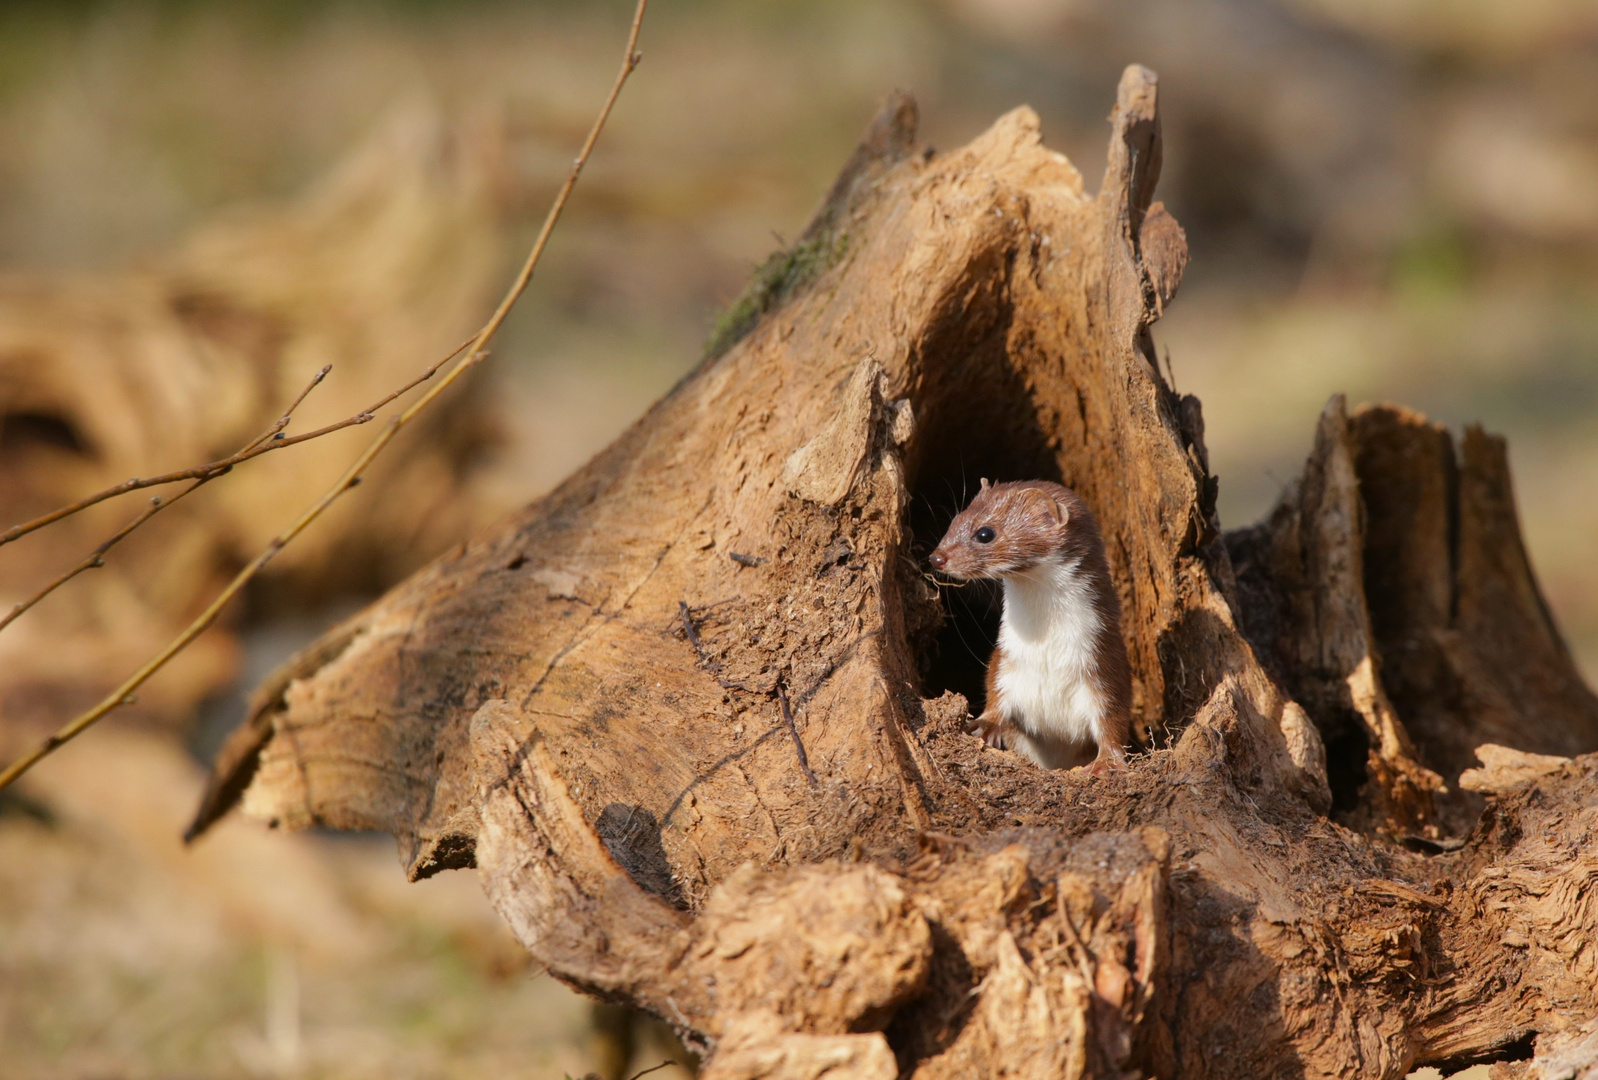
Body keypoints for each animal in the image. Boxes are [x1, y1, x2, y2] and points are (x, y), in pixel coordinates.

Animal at [933, 476, 1131, 773]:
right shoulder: (1006, 661)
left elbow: (1113, 718)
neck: (1046, 651)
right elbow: (995, 692)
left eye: (985, 533)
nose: (936, 557)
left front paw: (1106, 762)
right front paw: (983, 725)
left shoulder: (1104, 662)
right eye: (956, 519)